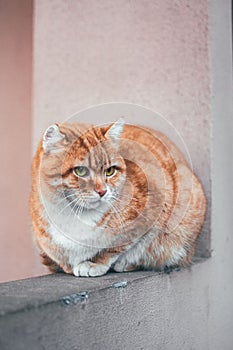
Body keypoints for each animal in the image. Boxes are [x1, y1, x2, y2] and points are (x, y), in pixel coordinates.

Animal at [30, 119, 206, 278]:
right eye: (80, 171)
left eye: (109, 171)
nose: (102, 191)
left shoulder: (155, 209)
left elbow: (117, 247)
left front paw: (95, 263)